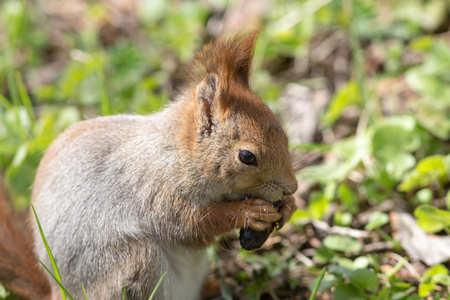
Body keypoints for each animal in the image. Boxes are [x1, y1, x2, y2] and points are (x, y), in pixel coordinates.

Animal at [0, 30, 298, 300]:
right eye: (247, 157)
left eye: (284, 133)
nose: (291, 188)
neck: (179, 154)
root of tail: (58, 292)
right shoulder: (158, 191)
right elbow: (191, 226)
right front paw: (250, 212)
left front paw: (289, 207)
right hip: (133, 261)